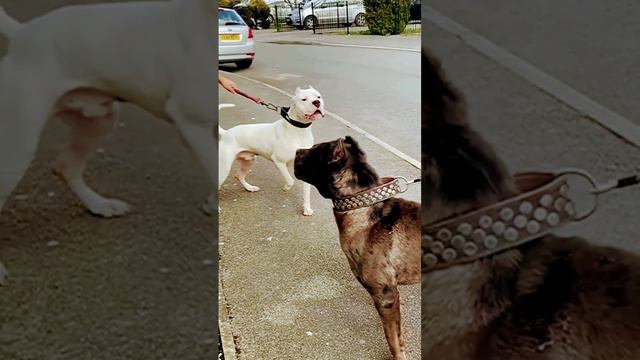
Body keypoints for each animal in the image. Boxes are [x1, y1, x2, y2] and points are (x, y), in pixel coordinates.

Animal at [0, 0, 219, 286]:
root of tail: (22, 33)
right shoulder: (192, 123)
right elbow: (219, 172)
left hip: (98, 122)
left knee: (66, 166)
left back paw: (100, 205)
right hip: (18, 143)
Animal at [219, 86, 324, 217]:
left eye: (318, 96)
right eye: (304, 99)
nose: (317, 102)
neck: (299, 131)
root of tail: (226, 133)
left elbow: (306, 192)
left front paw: (306, 208)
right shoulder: (279, 161)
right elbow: (290, 180)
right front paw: (286, 188)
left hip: (248, 161)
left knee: (239, 175)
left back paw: (250, 188)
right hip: (223, 169)